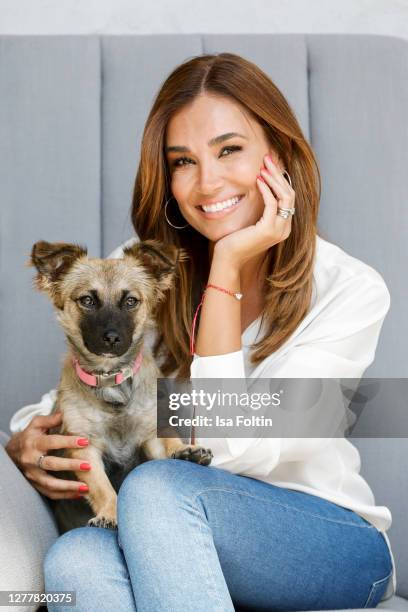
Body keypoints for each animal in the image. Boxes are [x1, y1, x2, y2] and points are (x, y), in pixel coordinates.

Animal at [28, 239, 214, 532]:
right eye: (87, 300)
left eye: (130, 301)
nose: (112, 338)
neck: (111, 380)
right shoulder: (84, 447)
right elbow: (101, 486)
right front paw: (110, 512)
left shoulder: (150, 434)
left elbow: (168, 441)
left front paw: (185, 451)